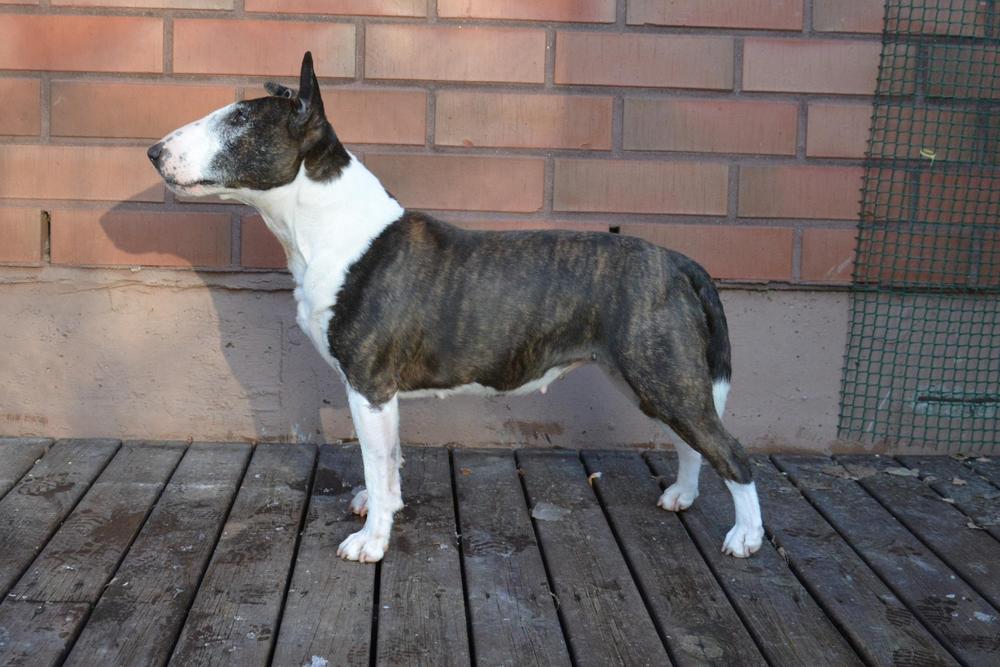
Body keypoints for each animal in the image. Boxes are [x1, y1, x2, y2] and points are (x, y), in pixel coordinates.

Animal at [147, 52, 764, 563]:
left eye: (239, 122)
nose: (153, 152)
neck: (324, 225)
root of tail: (678, 260)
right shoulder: (382, 395)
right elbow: (391, 461)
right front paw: (382, 509)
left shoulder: (369, 385)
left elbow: (376, 462)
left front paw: (370, 542)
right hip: (650, 376)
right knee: (690, 439)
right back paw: (682, 494)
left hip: (660, 371)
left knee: (731, 451)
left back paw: (745, 536)